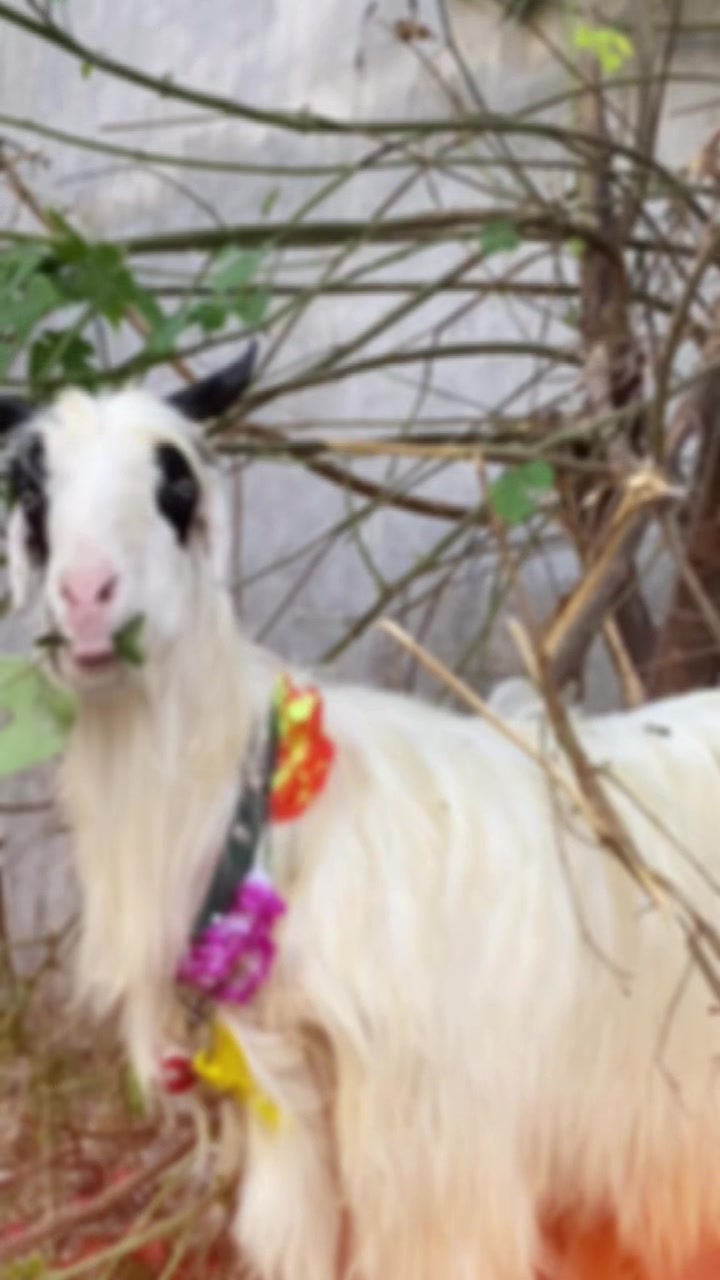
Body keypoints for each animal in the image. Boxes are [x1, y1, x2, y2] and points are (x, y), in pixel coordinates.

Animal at [3, 352, 720, 1280]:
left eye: (178, 485)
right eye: (30, 491)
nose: (89, 597)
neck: (278, 832)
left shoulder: (439, 1167)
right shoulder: (304, 1140)